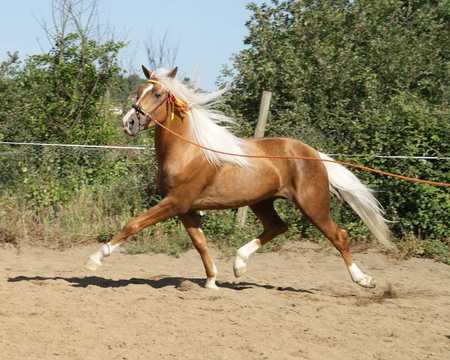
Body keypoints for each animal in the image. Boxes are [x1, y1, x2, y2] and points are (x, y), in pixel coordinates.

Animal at [86, 65, 388, 290]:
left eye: (158, 94)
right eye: (139, 91)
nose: (128, 123)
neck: (189, 151)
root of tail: (312, 153)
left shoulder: (175, 202)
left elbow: (133, 224)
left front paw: (96, 258)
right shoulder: (185, 208)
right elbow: (200, 243)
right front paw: (211, 280)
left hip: (312, 204)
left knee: (339, 235)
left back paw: (364, 280)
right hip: (261, 201)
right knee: (278, 226)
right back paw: (239, 265)